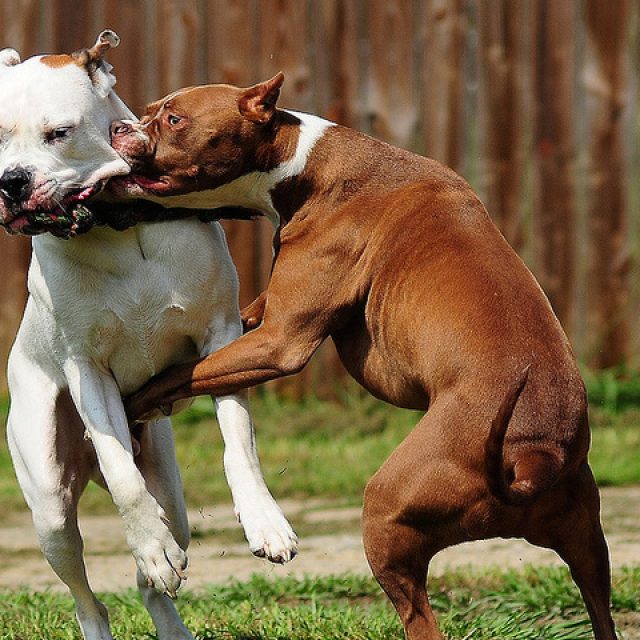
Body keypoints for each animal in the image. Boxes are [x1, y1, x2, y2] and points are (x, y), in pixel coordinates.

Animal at [0, 32, 296, 640]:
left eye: (58, 133)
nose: (10, 182)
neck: (119, 226)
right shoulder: (86, 369)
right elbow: (122, 475)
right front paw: (147, 541)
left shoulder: (220, 337)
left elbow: (239, 442)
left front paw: (264, 520)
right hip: (50, 510)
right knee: (89, 597)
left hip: (173, 493)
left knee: (153, 574)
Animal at [111, 75, 616, 640]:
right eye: (149, 110)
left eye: (174, 119)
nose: (121, 128)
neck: (302, 164)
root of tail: (530, 463)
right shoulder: (261, 319)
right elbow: (206, 354)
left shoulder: (279, 342)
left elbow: (180, 374)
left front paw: (133, 404)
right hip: (588, 547)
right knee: (600, 605)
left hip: (387, 515)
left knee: (421, 619)